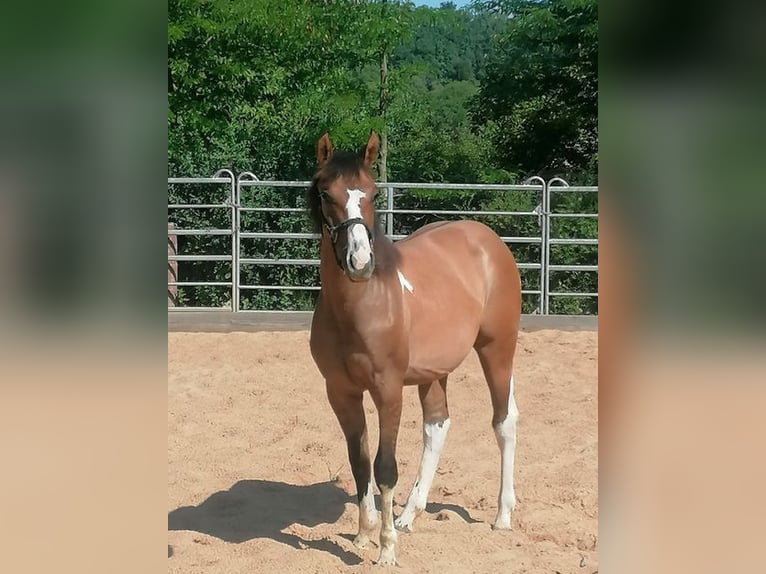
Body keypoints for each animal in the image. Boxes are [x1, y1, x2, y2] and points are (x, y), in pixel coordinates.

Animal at [308, 131, 522, 565]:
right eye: (325, 193)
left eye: (372, 193)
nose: (360, 262)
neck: (360, 308)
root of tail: (489, 240)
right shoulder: (340, 392)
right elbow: (359, 463)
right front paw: (364, 534)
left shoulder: (388, 391)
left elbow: (385, 467)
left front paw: (387, 549)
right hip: (434, 371)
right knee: (437, 426)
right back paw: (409, 514)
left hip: (498, 348)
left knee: (504, 420)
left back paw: (502, 515)